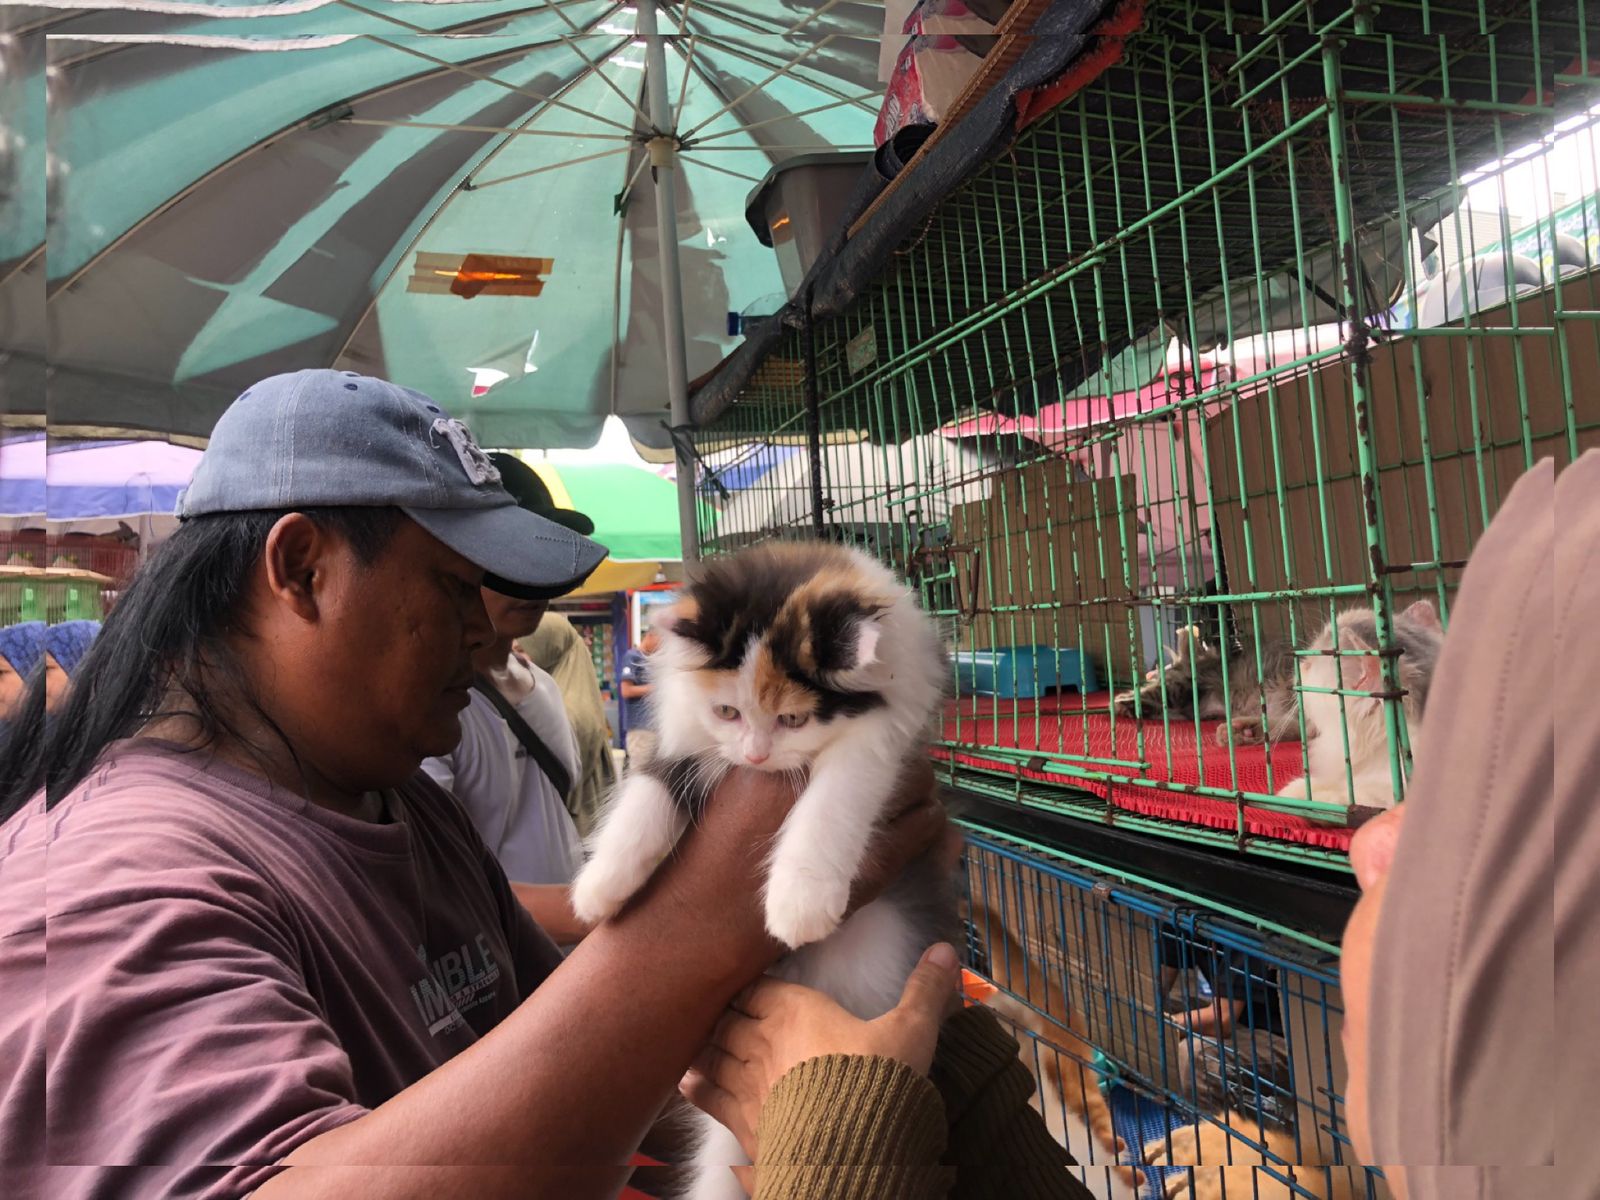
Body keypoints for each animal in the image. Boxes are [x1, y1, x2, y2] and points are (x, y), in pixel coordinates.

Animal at [572, 544, 953, 1200]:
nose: (754, 756)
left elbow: (833, 798)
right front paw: (601, 886)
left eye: (794, 721)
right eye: (727, 710)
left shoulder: (881, 739)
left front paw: (799, 899)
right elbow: (649, 790)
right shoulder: (686, 737)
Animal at [1113, 624, 1299, 748]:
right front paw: (1131, 705)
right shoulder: (1191, 708)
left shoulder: (1185, 685)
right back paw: (1243, 732)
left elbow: (1159, 692)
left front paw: (1123, 700)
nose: (1151, 673)